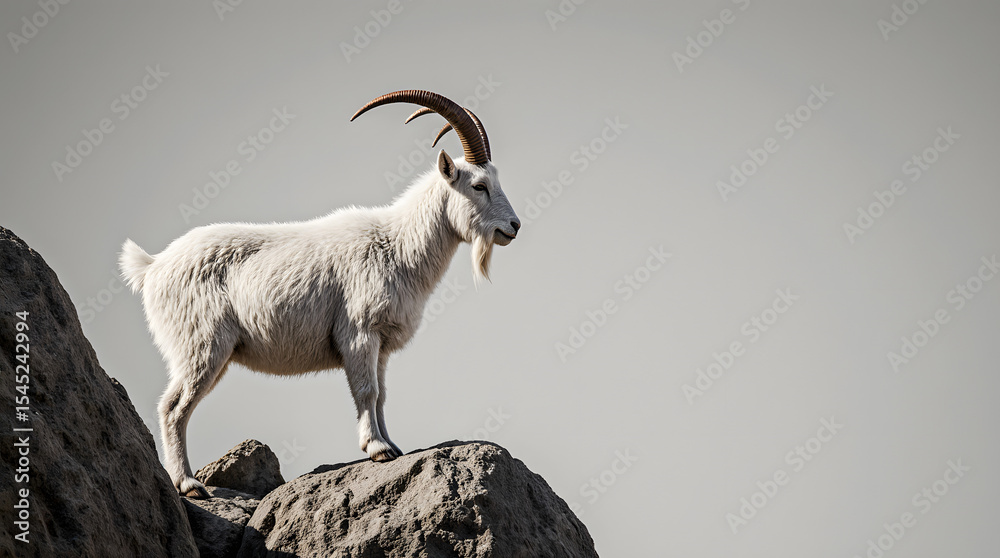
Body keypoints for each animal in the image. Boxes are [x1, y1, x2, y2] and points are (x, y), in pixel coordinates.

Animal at [119, 90, 521, 497]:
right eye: (478, 186)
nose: (514, 226)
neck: (396, 244)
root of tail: (152, 267)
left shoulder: (381, 343)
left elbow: (382, 394)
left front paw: (391, 444)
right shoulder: (358, 333)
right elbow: (366, 391)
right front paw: (377, 449)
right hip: (200, 346)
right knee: (173, 408)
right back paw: (188, 484)